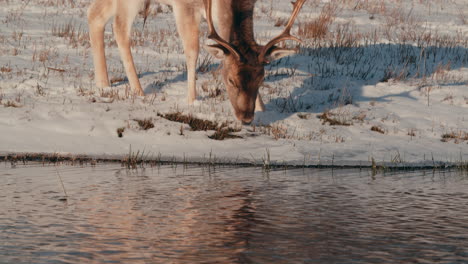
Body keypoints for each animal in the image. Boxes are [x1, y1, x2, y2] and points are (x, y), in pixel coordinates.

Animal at [88, 0, 308, 124]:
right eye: (230, 80)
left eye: (261, 79)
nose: (246, 117)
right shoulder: (184, 6)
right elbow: (192, 49)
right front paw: (192, 100)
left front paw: (263, 109)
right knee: (119, 27)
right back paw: (139, 91)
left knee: (95, 14)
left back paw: (103, 84)